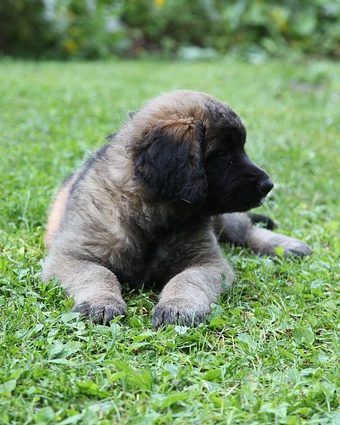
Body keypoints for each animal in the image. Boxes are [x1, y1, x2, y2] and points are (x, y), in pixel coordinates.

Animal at [42, 91, 310, 326]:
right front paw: (100, 302)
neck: (152, 217)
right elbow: (98, 273)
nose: (268, 185)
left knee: (246, 230)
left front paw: (179, 306)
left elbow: (187, 279)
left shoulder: (208, 263)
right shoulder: (71, 255)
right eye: (224, 153)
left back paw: (287, 246)